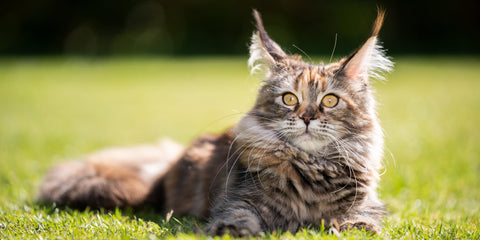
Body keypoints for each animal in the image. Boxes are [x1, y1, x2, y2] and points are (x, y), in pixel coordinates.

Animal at [38, 8, 394, 236]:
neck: (311, 168)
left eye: (330, 101)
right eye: (289, 99)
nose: (306, 117)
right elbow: (238, 216)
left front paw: (353, 228)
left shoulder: (365, 203)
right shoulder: (239, 199)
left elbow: (359, 220)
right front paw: (233, 231)